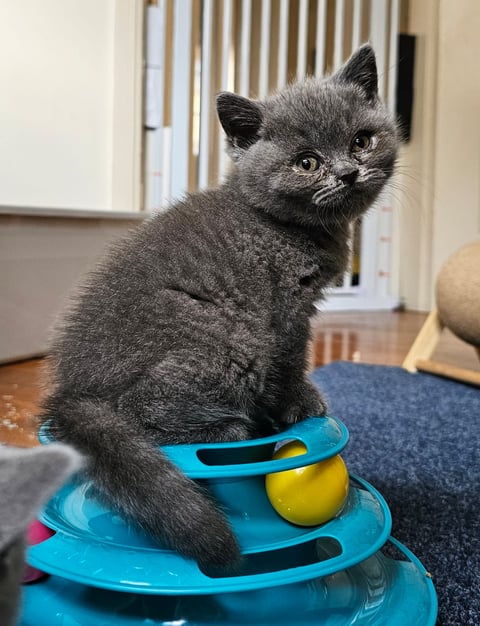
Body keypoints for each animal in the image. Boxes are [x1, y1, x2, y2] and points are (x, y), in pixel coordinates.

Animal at [39, 45, 398, 564]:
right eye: (307, 162)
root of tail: (71, 393)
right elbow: (291, 361)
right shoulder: (284, 310)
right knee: (144, 413)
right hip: (230, 338)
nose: (349, 173)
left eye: (362, 140)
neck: (282, 225)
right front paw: (299, 404)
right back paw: (231, 431)